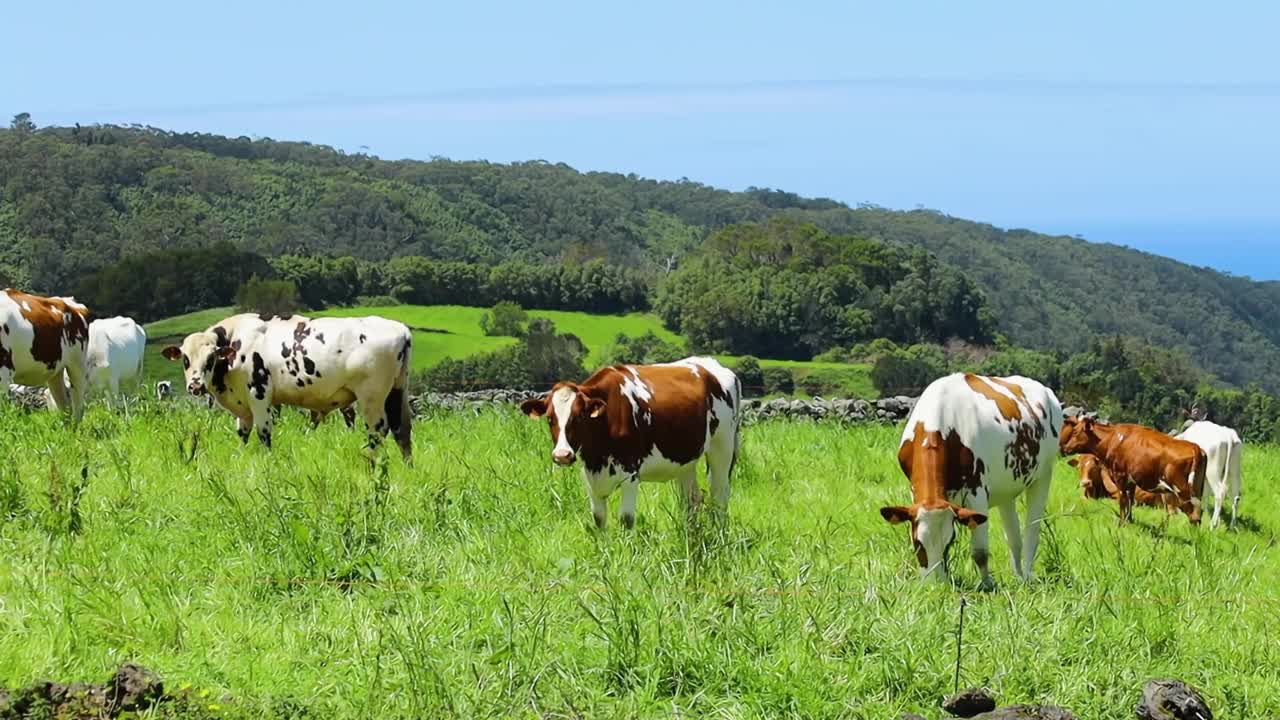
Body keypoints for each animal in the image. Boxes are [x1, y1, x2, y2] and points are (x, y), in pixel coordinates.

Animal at [157, 310, 412, 453]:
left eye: (211, 358)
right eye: (185, 359)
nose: (195, 386)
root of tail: (401, 329)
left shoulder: (259, 394)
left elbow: (263, 433)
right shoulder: (243, 406)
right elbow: (243, 434)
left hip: (372, 397)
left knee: (377, 433)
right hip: (397, 390)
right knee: (403, 433)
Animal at [519, 353, 742, 527]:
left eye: (580, 416)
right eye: (550, 418)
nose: (562, 455)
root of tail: (712, 364)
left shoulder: (630, 473)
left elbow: (626, 519)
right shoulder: (590, 476)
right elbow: (598, 519)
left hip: (723, 447)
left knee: (719, 495)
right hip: (685, 460)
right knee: (692, 500)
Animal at [1054, 412, 1203, 525]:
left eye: (1075, 432)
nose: (1065, 448)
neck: (1112, 439)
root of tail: (1195, 447)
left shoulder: (1120, 476)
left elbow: (1122, 500)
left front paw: (1121, 523)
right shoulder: (1131, 481)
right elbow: (1130, 501)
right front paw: (1129, 520)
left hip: (1180, 491)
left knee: (1192, 515)